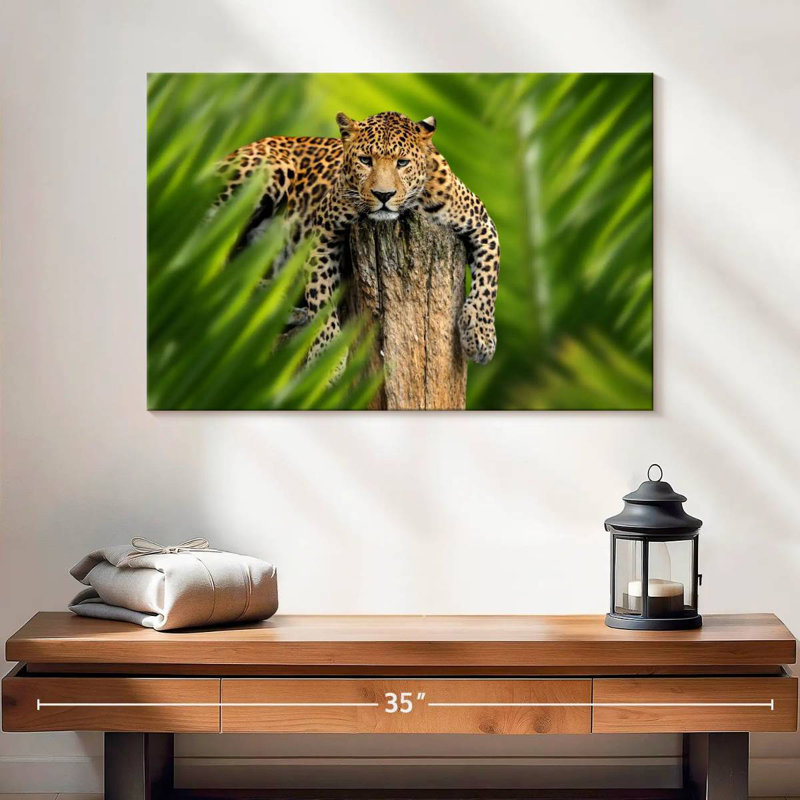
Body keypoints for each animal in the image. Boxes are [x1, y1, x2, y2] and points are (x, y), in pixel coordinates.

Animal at [215, 111, 499, 366]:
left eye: (402, 163)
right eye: (365, 160)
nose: (383, 195)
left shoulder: (482, 223)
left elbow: (489, 280)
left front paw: (480, 336)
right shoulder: (322, 230)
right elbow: (321, 292)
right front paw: (326, 355)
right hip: (265, 172)